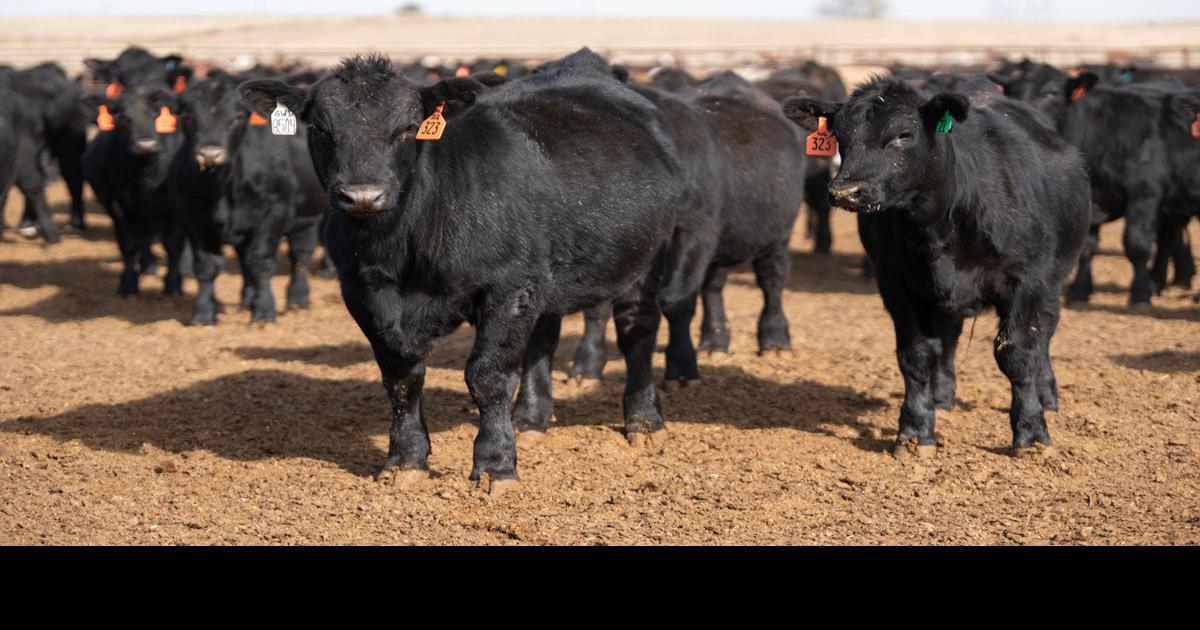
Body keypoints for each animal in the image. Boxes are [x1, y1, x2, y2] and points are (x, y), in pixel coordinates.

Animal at [83, 81, 188, 296]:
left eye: (157, 114)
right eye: (123, 117)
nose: (145, 145)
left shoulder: (177, 208)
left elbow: (173, 244)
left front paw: (173, 283)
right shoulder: (116, 205)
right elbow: (129, 244)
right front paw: (128, 282)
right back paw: (148, 265)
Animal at [170, 70, 325, 325]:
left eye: (237, 118)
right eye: (187, 116)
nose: (210, 154)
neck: (222, 189)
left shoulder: (274, 212)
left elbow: (261, 262)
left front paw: (264, 312)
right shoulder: (193, 216)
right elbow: (206, 266)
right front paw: (203, 313)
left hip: (309, 217)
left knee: (300, 256)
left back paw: (297, 299)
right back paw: (247, 301)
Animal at [237, 49, 683, 494]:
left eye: (409, 127)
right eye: (321, 129)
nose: (363, 196)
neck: (403, 248)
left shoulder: (509, 287)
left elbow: (487, 376)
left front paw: (495, 465)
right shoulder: (363, 294)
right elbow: (401, 379)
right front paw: (406, 460)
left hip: (648, 258)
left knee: (636, 331)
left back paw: (643, 421)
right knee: (542, 341)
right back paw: (530, 420)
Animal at [570, 71, 806, 388]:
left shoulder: (694, 229)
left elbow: (676, 299)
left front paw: (681, 366)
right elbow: (597, 307)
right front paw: (587, 366)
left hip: (778, 232)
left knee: (772, 280)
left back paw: (775, 340)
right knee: (713, 286)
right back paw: (714, 341)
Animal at [783, 77, 1090, 457]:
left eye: (904, 134)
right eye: (840, 135)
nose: (845, 190)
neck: (941, 222)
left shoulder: (1026, 281)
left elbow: (1017, 352)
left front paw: (1031, 433)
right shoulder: (896, 284)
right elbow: (916, 355)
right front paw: (915, 430)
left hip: (1052, 283)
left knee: (1044, 333)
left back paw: (1046, 393)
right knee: (948, 339)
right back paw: (941, 397)